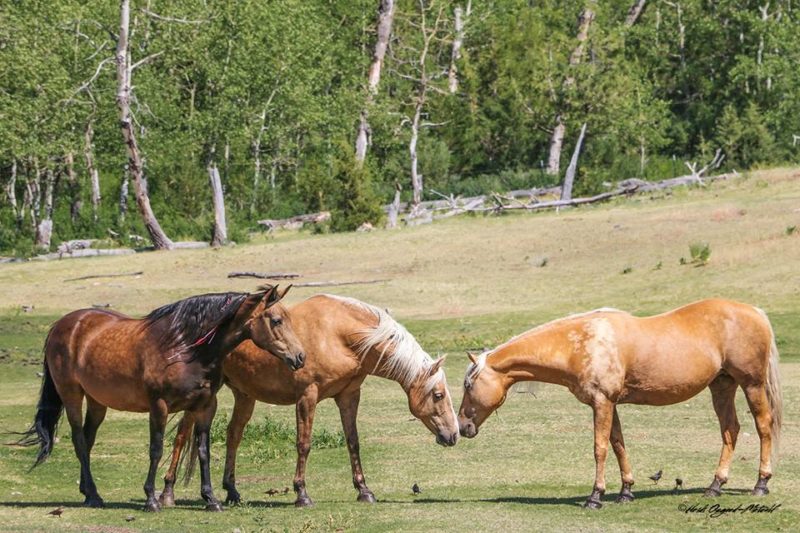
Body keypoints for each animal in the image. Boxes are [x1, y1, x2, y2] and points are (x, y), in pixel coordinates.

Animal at [16, 285, 305, 512]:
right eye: (276, 320)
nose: (300, 357)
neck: (184, 349)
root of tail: (63, 324)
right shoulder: (159, 406)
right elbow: (156, 450)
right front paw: (151, 500)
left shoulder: (205, 406)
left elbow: (203, 451)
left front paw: (211, 499)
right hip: (72, 395)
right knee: (78, 440)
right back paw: (95, 496)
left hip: (98, 402)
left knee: (87, 441)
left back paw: (88, 493)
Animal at [158, 293, 459, 508]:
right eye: (438, 394)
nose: (454, 435)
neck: (339, 334)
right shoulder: (307, 396)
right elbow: (304, 444)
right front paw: (302, 494)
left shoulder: (349, 396)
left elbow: (353, 442)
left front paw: (364, 491)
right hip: (203, 397)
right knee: (182, 436)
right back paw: (167, 493)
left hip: (244, 396)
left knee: (233, 436)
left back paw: (232, 492)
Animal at [458, 298, 782, 509]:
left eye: (468, 384)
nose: (462, 426)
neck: (580, 344)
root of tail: (755, 312)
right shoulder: (608, 404)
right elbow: (618, 444)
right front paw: (626, 491)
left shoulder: (602, 402)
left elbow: (600, 448)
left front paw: (595, 496)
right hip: (722, 386)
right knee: (730, 431)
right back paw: (715, 486)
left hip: (751, 385)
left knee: (763, 427)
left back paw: (761, 484)